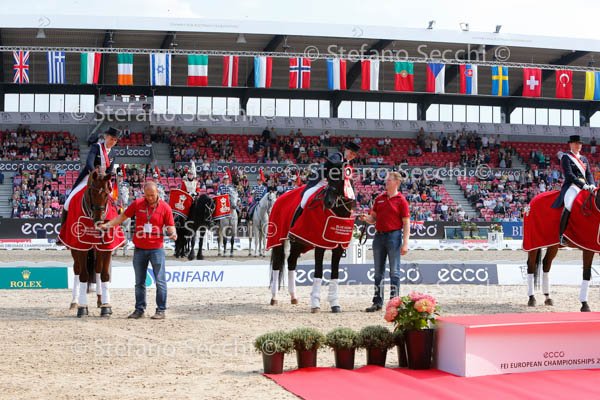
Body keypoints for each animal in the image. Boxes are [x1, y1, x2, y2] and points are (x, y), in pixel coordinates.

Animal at [57, 170, 125, 318]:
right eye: (92, 193)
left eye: (107, 193)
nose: (99, 221)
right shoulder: (81, 247)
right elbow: (83, 275)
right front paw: (82, 307)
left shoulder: (106, 247)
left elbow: (105, 275)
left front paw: (106, 306)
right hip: (75, 249)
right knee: (77, 270)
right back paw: (74, 301)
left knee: (98, 270)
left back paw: (100, 300)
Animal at [267, 164, 356, 313]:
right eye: (329, 178)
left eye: (340, 179)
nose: (328, 202)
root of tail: (279, 198)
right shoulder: (319, 246)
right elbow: (319, 272)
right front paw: (315, 304)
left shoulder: (338, 248)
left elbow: (335, 274)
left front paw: (335, 304)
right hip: (278, 241)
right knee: (277, 265)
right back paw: (274, 298)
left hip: (298, 242)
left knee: (291, 262)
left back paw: (293, 297)